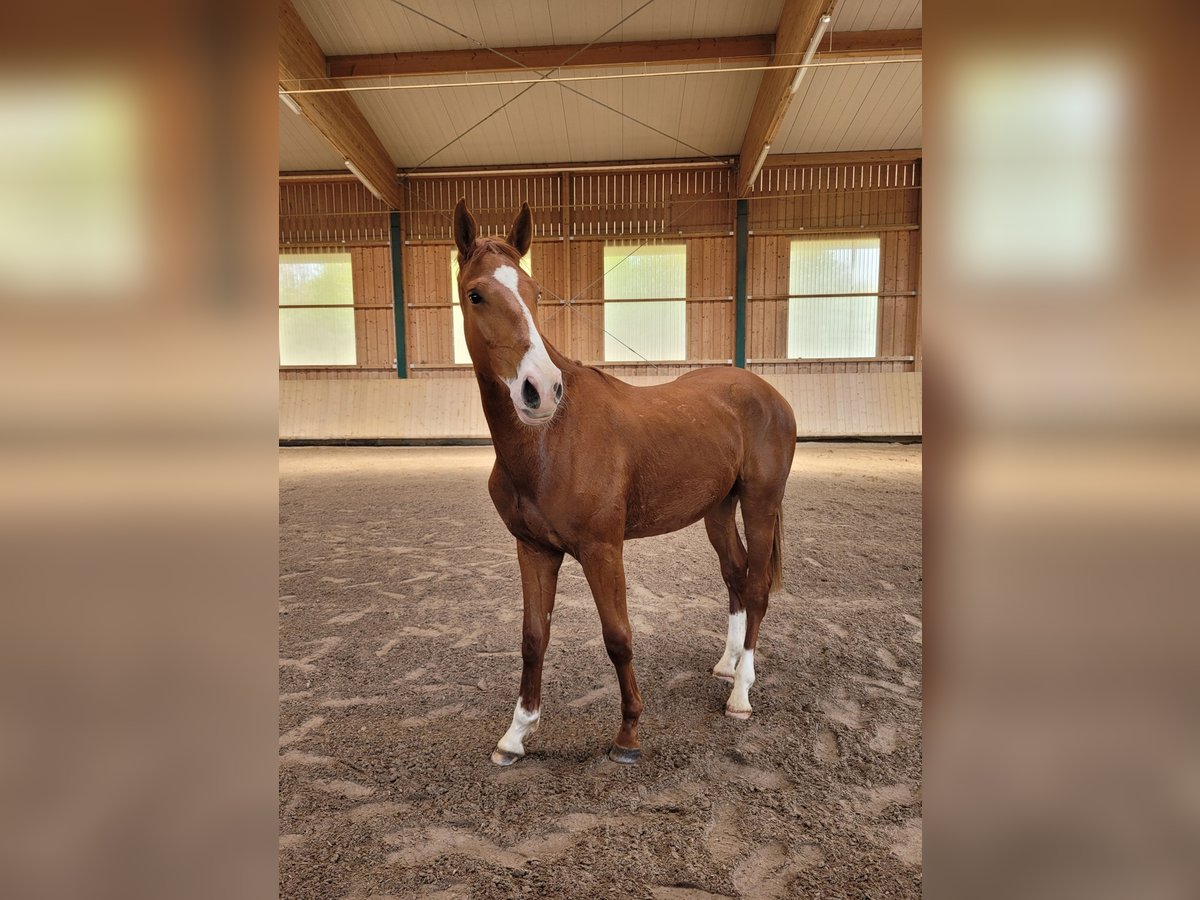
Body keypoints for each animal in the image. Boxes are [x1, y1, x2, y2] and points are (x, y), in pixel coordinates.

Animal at [453, 200, 792, 763]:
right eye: (475, 293)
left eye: (534, 292)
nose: (540, 389)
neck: (551, 438)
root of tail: (767, 393)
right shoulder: (534, 550)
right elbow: (533, 638)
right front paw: (516, 735)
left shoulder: (602, 549)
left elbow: (617, 636)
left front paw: (629, 732)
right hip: (718, 510)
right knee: (736, 575)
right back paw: (728, 666)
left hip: (760, 502)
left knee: (758, 585)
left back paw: (741, 694)